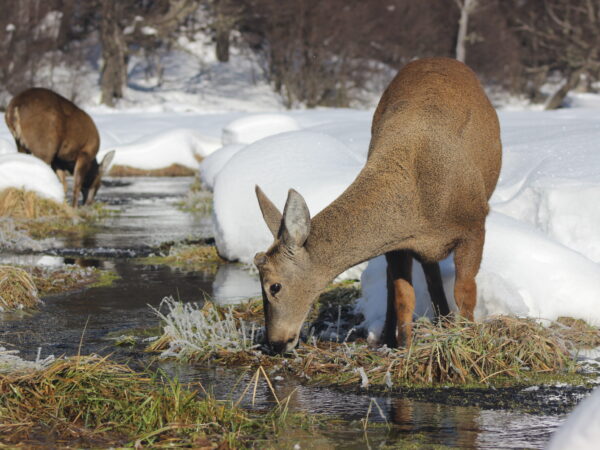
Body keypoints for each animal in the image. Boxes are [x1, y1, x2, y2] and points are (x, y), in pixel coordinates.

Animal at [253, 56, 502, 354]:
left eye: (274, 286)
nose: (275, 342)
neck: (421, 205)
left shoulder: (475, 224)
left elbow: (465, 290)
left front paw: (467, 338)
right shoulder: (399, 243)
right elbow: (403, 294)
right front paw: (404, 347)